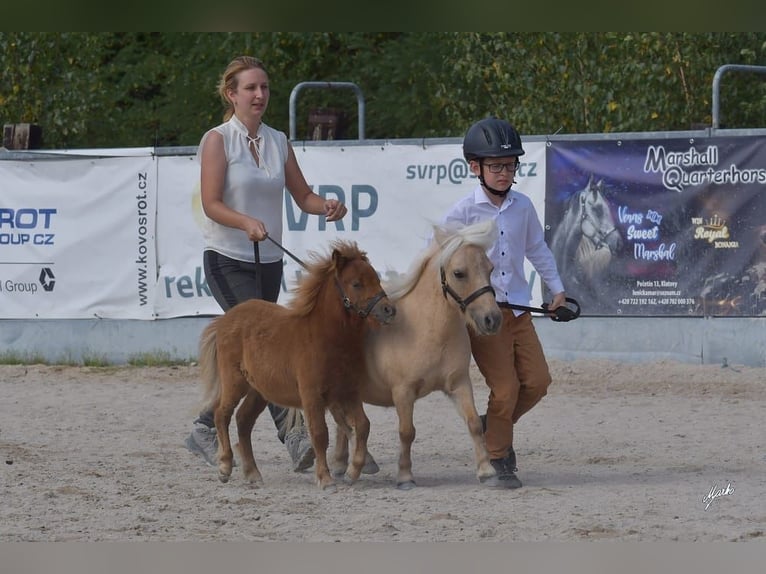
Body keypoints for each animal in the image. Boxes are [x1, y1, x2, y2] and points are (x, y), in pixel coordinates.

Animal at [195, 241, 400, 492]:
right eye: (356, 283)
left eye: (376, 279)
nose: (389, 310)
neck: (327, 337)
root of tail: (225, 319)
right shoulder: (312, 394)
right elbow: (320, 433)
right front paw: (325, 479)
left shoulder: (348, 392)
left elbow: (362, 425)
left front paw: (353, 471)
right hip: (235, 382)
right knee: (222, 414)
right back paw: (224, 467)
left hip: (260, 390)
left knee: (243, 420)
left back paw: (252, 473)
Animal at [332, 220, 500, 490]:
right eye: (459, 273)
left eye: (490, 269)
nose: (492, 319)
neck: (428, 330)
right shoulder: (403, 392)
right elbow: (406, 432)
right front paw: (405, 476)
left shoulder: (459, 384)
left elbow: (474, 423)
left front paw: (487, 472)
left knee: (342, 423)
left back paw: (341, 464)